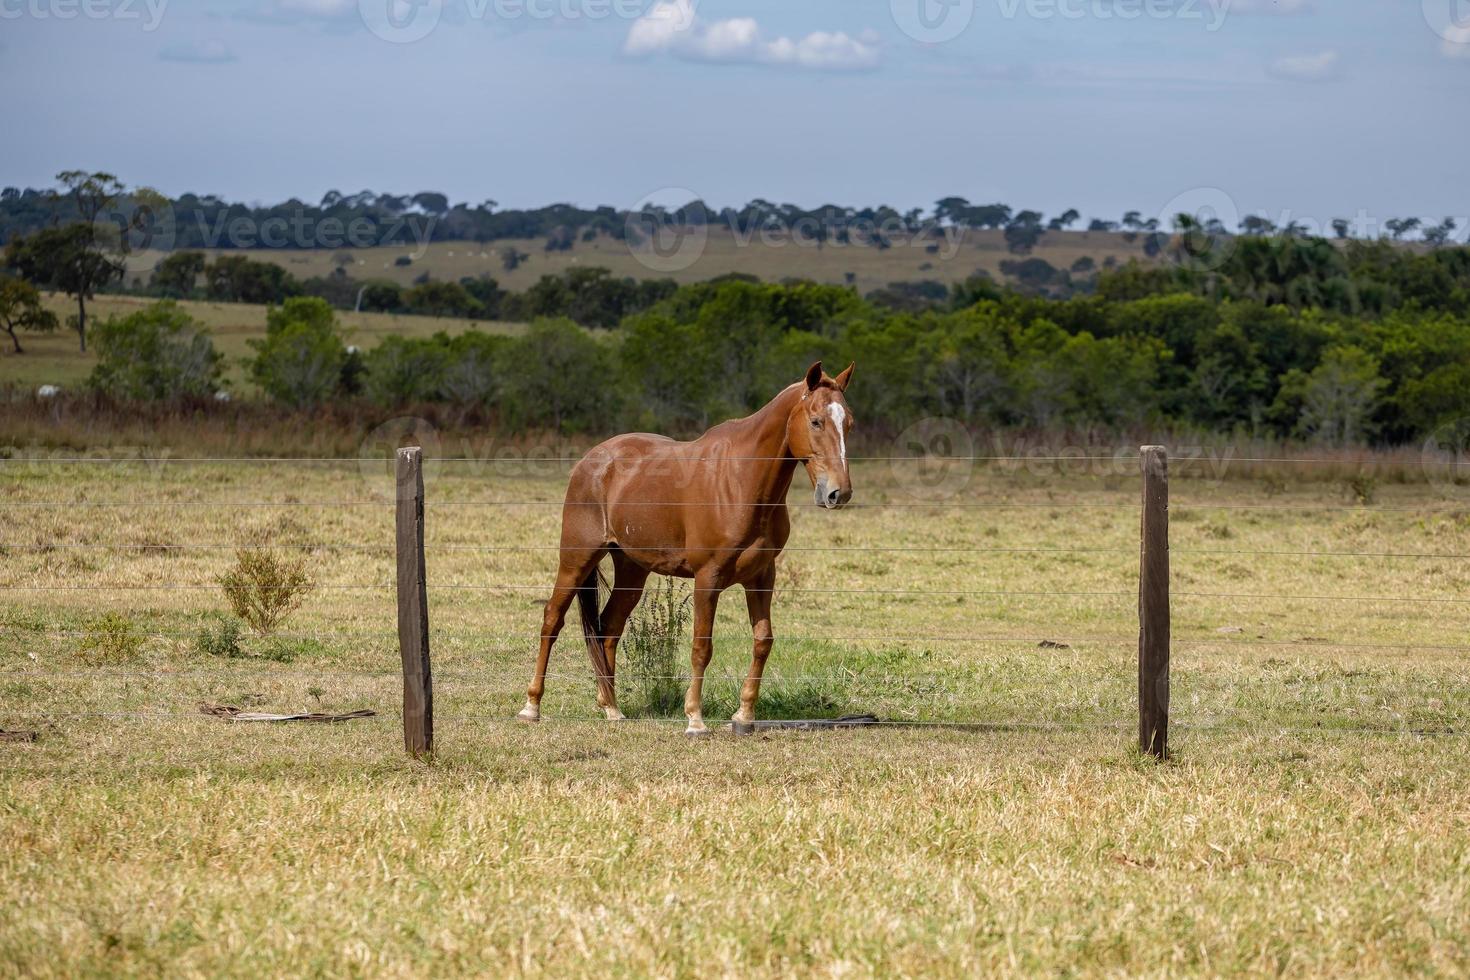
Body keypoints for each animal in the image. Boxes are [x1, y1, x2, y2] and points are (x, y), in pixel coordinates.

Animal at [520, 362, 858, 734]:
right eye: (816, 421)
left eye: (849, 423)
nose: (838, 492)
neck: (741, 480)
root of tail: (592, 461)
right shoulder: (708, 578)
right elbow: (701, 646)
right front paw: (695, 717)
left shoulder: (761, 577)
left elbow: (762, 641)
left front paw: (744, 715)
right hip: (576, 559)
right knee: (552, 620)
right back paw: (532, 705)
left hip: (632, 570)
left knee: (608, 627)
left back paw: (611, 706)